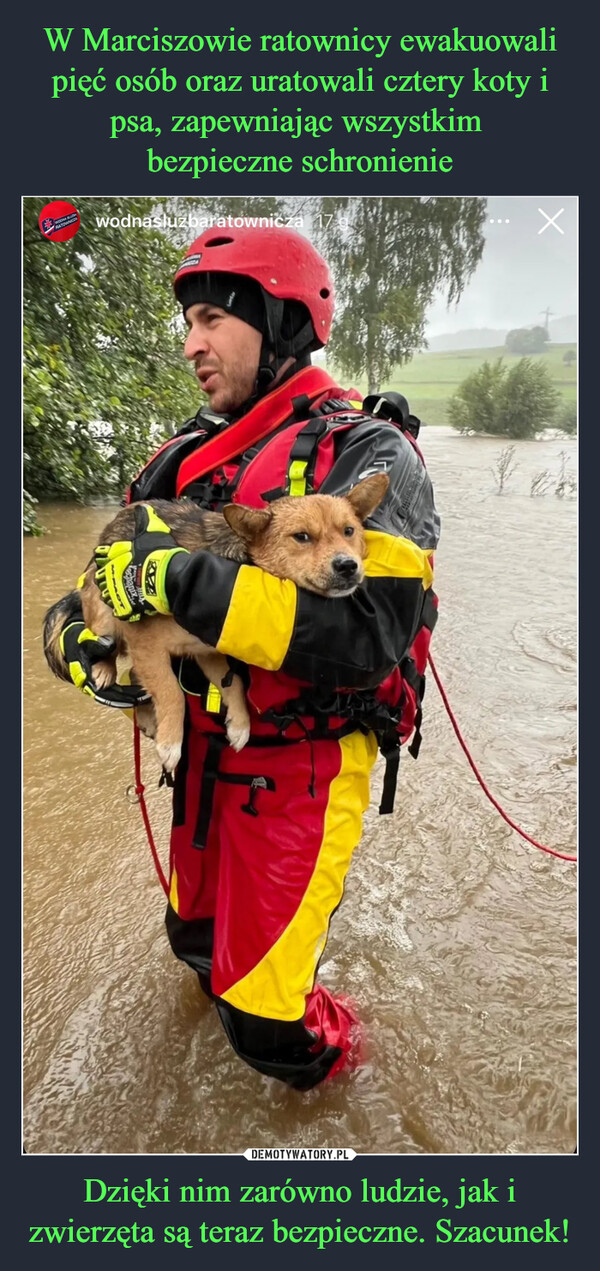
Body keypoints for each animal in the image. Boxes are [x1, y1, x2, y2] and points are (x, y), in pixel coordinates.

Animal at [44, 475, 388, 772]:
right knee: (109, 647)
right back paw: (103, 669)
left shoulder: (207, 651)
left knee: (135, 677)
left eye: (349, 531)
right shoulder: (145, 642)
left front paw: (240, 725)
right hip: (101, 605)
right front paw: (171, 743)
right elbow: (171, 690)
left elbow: (233, 684)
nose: (348, 566)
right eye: (302, 537)